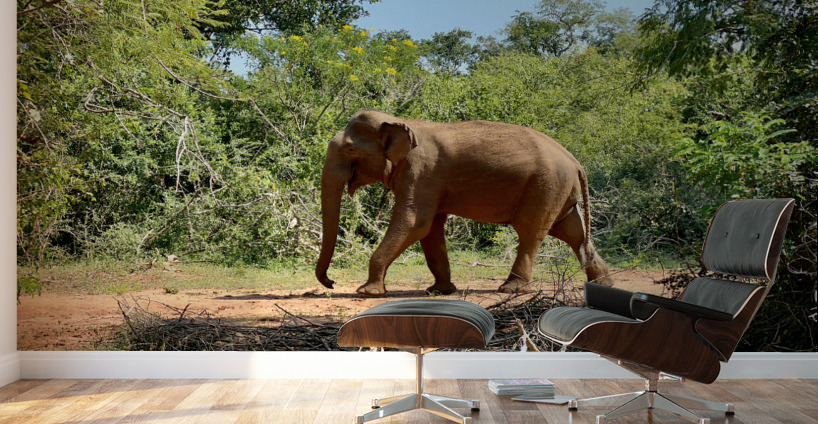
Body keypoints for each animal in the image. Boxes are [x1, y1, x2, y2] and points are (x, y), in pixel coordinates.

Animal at [315, 110, 613, 296]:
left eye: (350, 149)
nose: (331, 283)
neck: (401, 121)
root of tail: (575, 162)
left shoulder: (421, 172)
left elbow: (415, 223)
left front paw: (367, 292)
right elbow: (430, 229)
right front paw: (439, 291)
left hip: (545, 187)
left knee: (531, 231)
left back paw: (510, 289)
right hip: (558, 192)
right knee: (571, 232)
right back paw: (603, 284)